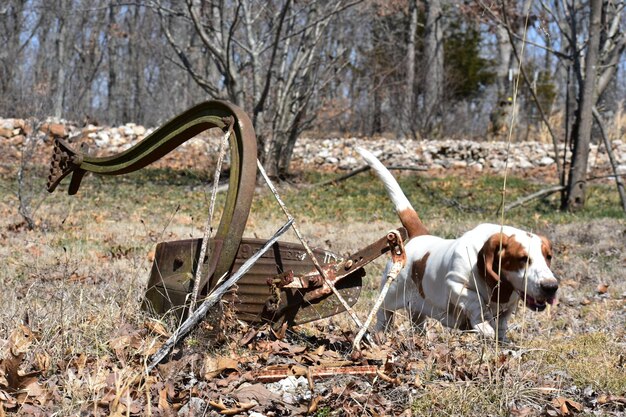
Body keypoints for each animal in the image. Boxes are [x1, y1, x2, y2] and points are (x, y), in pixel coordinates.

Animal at [356, 148, 560, 340]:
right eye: (522, 258)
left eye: (548, 257)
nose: (551, 287)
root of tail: (419, 236)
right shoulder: (456, 284)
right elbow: (476, 304)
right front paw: (484, 326)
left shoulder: (508, 307)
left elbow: (501, 324)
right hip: (390, 296)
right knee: (383, 316)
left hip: (417, 311)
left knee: (417, 323)